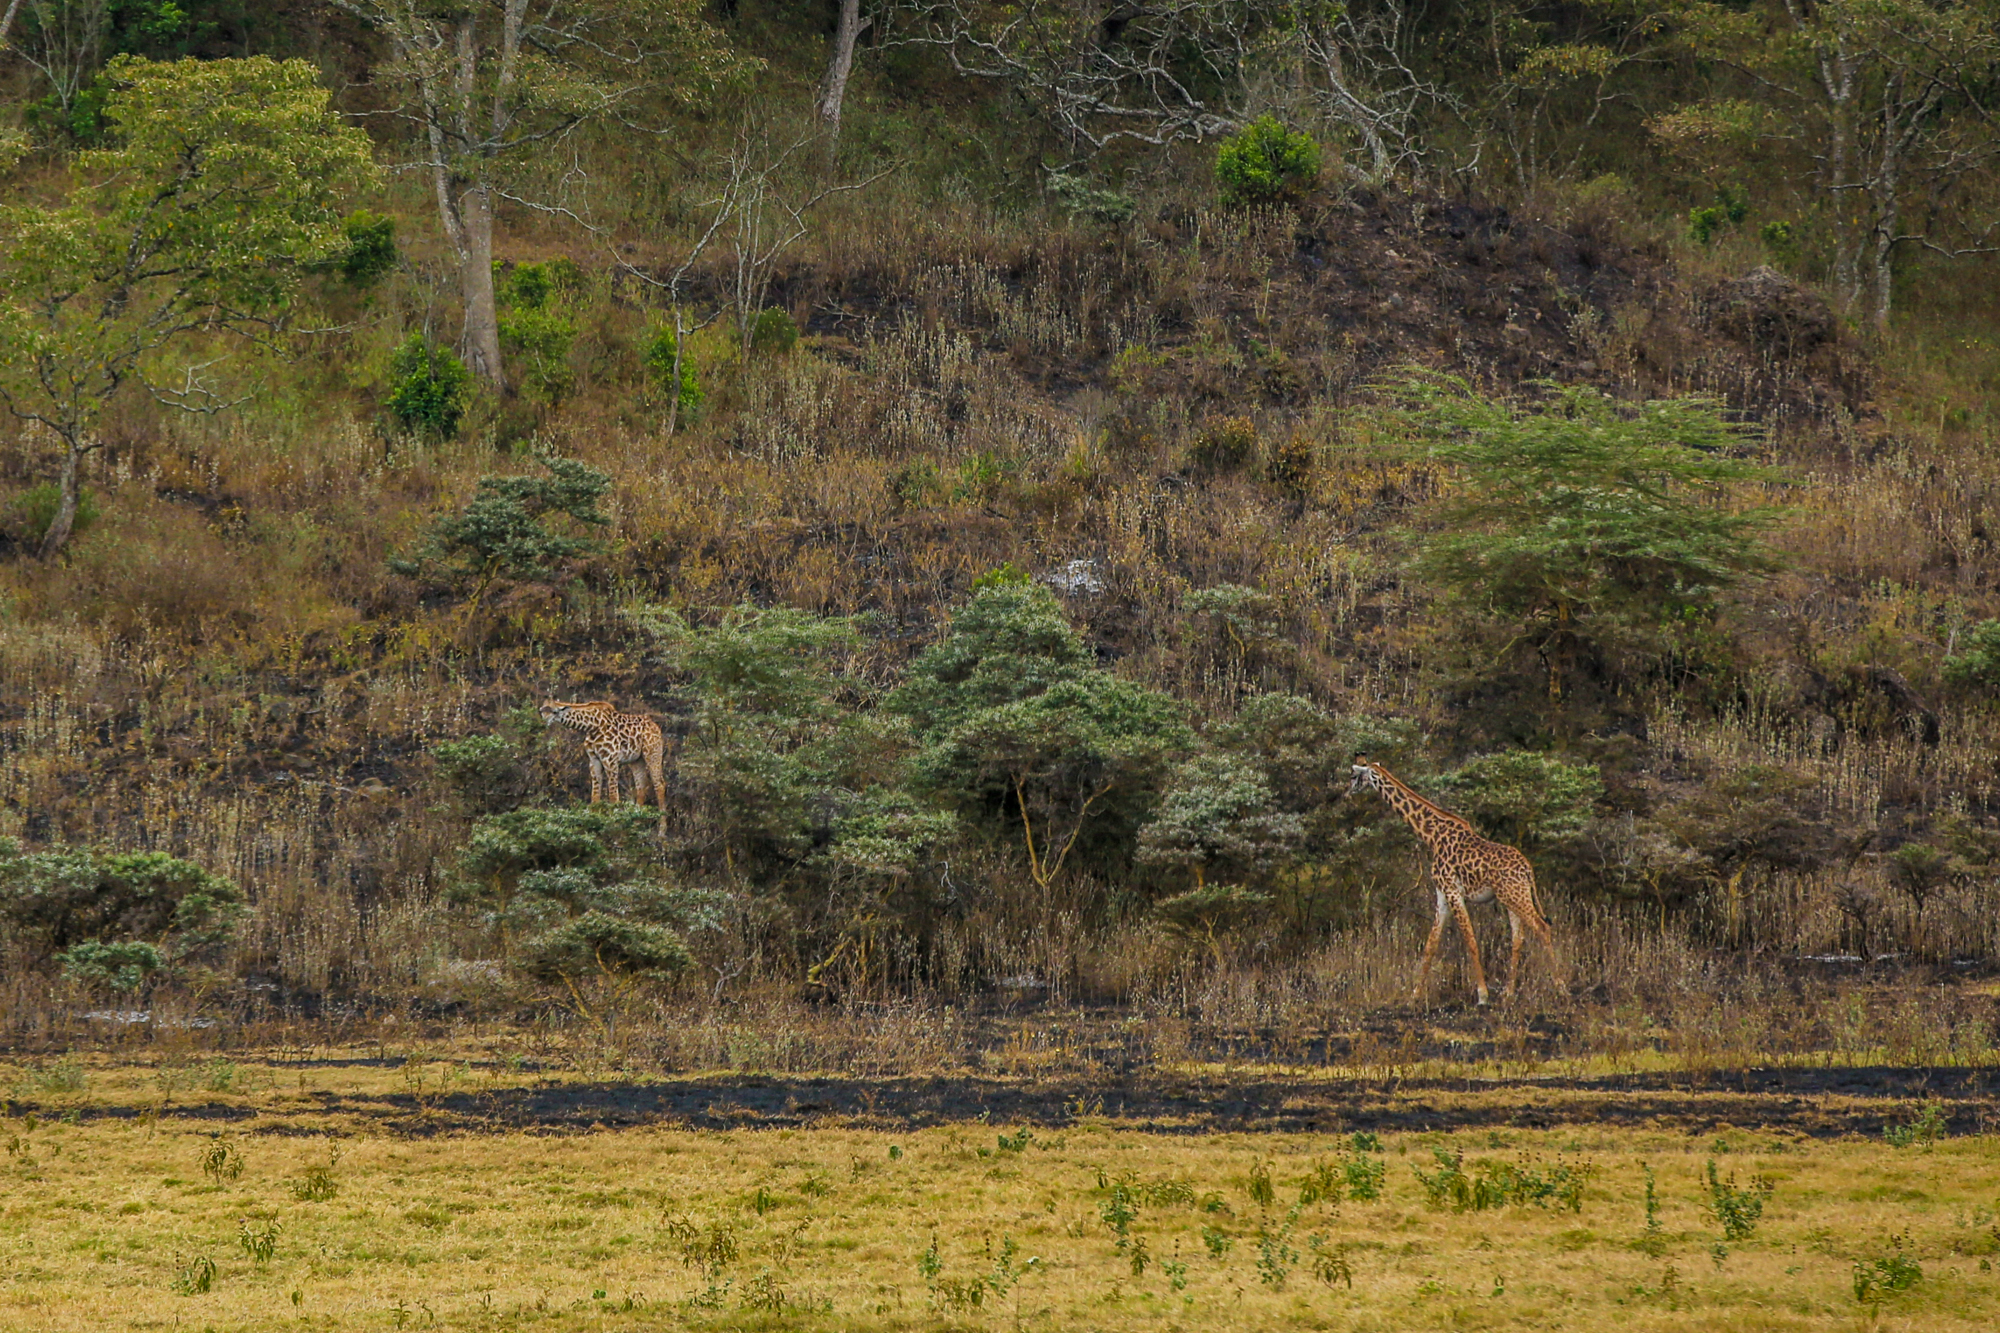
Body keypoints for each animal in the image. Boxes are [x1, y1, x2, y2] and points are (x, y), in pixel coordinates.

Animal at [540, 696, 672, 832]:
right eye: (541, 710)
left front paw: (614, 827)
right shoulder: (594, 760)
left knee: (659, 784)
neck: (592, 726)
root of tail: (656, 726)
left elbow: (613, 796)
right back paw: (635, 825)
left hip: (653, 752)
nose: (545, 720)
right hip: (636, 760)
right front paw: (592, 825)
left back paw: (661, 830)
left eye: (554, 711)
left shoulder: (610, 759)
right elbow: (595, 796)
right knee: (641, 786)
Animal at [1344, 752, 1560, 1000]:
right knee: (1518, 938)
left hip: (1515, 896)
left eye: (1353, 776)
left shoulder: (1453, 890)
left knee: (1542, 928)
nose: (1346, 793)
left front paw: (1482, 994)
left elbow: (1470, 939)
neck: (1431, 835)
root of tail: (1527, 869)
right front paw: (1416, 994)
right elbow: (1431, 943)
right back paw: (1508, 992)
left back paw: (1560, 986)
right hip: (1511, 897)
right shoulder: (1441, 893)